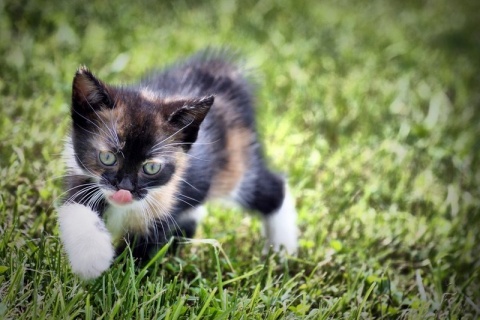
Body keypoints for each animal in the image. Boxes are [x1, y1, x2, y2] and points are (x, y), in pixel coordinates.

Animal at [56, 50, 296, 280]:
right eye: (108, 158)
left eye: (151, 168)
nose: (125, 188)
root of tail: (221, 73)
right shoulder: (82, 175)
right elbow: (75, 205)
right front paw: (91, 259)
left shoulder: (166, 203)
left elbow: (142, 252)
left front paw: (120, 275)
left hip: (236, 167)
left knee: (272, 189)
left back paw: (283, 250)